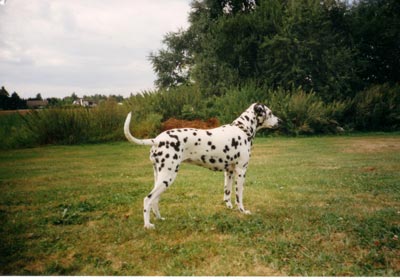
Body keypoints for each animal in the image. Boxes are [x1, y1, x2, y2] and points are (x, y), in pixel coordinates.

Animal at [123, 101, 280, 229]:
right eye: (270, 113)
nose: (281, 121)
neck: (242, 129)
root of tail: (156, 140)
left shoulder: (229, 172)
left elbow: (227, 194)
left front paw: (229, 207)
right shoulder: (241, 171)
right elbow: (238, 196)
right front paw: (242, 211)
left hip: (160, 177)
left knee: (154, 200)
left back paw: (159, 218)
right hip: (168, 177)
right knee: (147, 199)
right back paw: (147, 225)